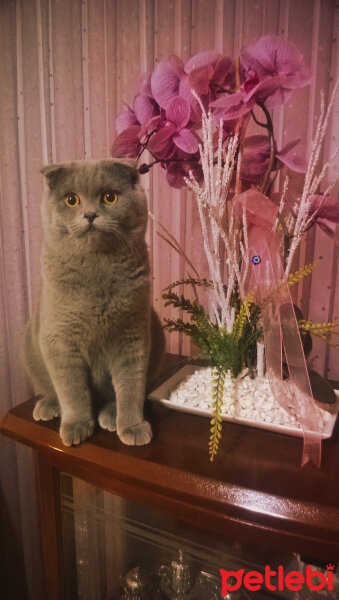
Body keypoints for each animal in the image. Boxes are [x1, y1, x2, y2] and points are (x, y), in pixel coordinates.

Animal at [23, 157, 165, 448]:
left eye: (109, 197)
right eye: (71, 200)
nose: (89, 215)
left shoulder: (132, 338)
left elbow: (131, 388)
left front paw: (132, 426)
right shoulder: (60, 341)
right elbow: (72, 391)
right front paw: (77, 425)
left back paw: (111, 415)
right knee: (51, 387)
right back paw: (48, 405)